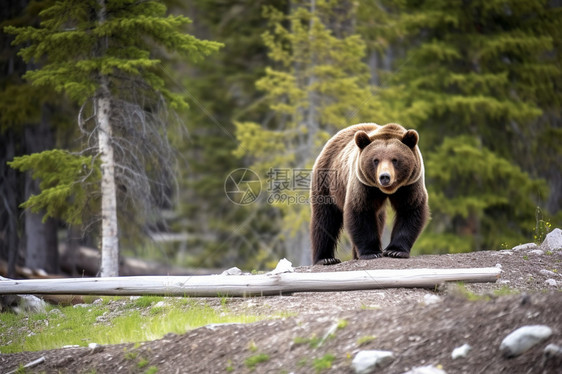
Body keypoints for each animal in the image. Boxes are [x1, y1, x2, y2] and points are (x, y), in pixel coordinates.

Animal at [308, 124, 426, 264]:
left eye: (395, 160)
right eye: (376, 160)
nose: (384, 177)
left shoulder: (410, 184)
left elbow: (409, 209)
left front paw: (395, 251)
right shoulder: (363, 184)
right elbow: (360, 211)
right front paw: (371, 252)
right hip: (327, 180)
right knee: (325, 219)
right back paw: (326, 258)